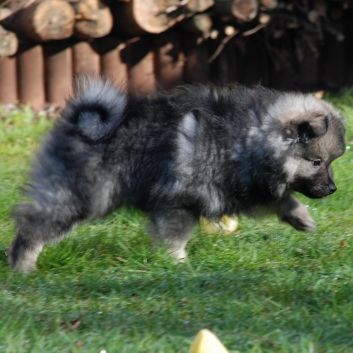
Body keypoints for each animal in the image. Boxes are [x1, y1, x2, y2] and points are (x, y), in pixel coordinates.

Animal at [7, 78, 344, 270]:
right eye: (316, 162)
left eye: (329, 162)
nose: (332, 189)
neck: (249, 139)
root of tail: (80, 121)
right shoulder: (177, 202)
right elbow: (175, 236)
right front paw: (178, 264)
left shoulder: (246, 188)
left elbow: (281, 199)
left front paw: (300, 216)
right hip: (79, 197)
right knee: (33, 225)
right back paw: (23, 266)